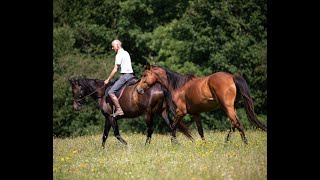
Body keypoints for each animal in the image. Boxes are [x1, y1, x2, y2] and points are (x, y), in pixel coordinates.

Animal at [136, 64, 266, 145]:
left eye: (144, 75)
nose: (138, 90)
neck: (178, 85)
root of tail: (232, 77)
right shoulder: (196, 113)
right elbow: (200, 131)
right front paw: (204, 145)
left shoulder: (181, 112)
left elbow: (173, 127)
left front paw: (174, 143)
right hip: (231, 107)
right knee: (234, 124)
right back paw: (226, 143)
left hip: (227, 107)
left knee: (237, 124)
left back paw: (245, 143)